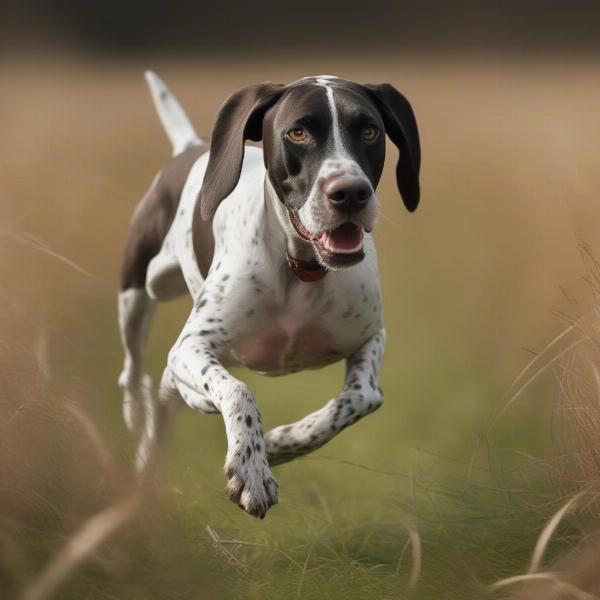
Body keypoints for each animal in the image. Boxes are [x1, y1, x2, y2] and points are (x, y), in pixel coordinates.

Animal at [116, 72, 418, 516]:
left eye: (369, 130)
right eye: (298, 132)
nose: (349, 193)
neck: (301, 269)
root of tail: (190, 146)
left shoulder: (371, 336)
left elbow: (361, 397)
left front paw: (279, 444)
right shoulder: (192, 345)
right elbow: (239, 393)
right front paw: (252, 470)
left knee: (168, 393)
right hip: (137, 294)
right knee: (135, 372)